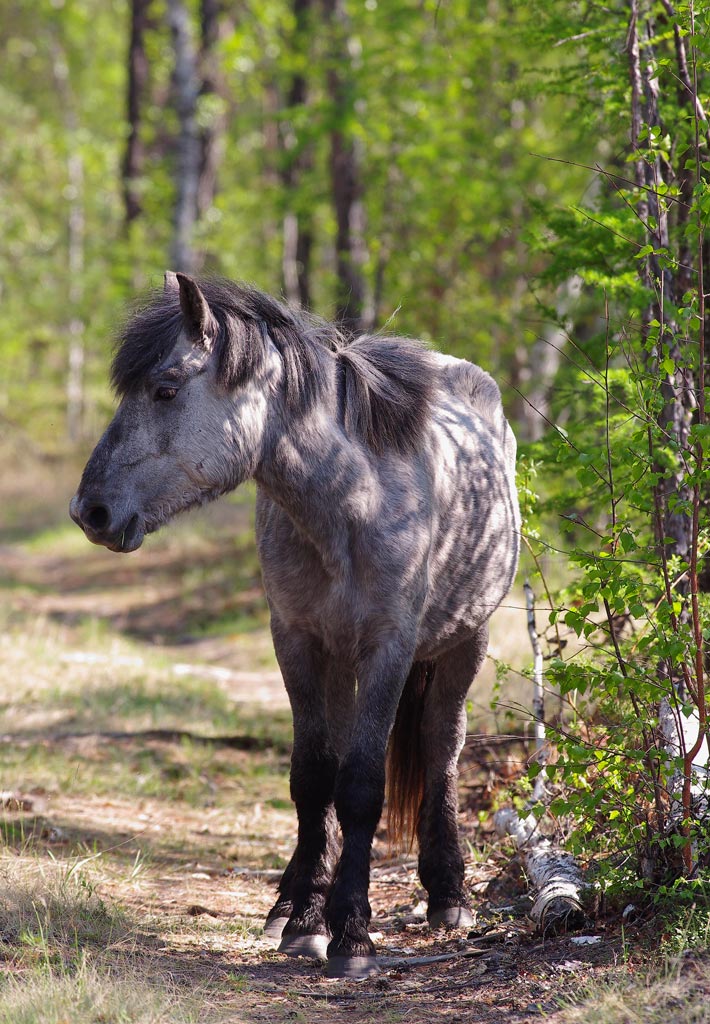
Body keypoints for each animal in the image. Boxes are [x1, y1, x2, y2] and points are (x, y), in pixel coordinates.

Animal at [69, 270, 518, 974]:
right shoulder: (298, 641)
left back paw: (448, 894)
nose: (89, 510)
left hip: (464, 643)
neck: (353, 502)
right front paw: (306, 919)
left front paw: (353, 932)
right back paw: (290, 901)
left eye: (166, 388)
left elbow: (360, 784)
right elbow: (312, 778)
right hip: (339, 662)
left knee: (442, 747)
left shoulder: (389, 648)